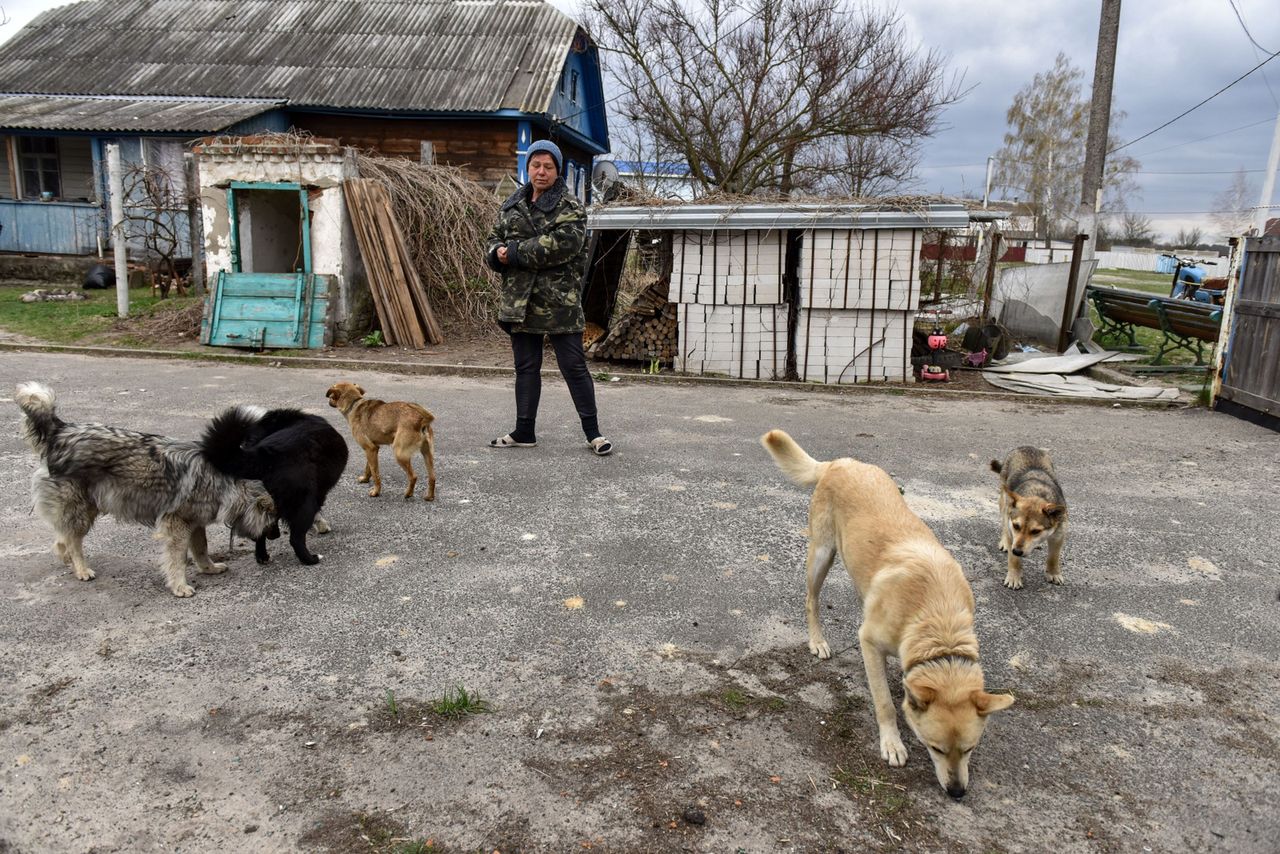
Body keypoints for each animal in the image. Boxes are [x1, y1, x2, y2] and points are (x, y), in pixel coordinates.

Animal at [14, 384, 277, 599]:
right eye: (274, 518)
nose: (275, 536)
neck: (226, 481)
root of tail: (60, 431)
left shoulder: (194, 523)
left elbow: (201, 548)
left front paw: (209, 568)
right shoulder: (177, 525)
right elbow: (177, 559)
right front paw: (179, 585)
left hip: (86, 508)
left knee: (64, 537)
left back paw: (66, 556)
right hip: (79, 508)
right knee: (73, 540)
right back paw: (81, 568)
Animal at [197, 409, 345, 568]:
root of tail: (264, 456)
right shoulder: (318, 493)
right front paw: (322, 525)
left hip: (264, 501)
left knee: (260, 531)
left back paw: (262, 556)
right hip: (304, 502)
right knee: (296, 539)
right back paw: (311, 559)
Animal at [762, 430, 1013, 798]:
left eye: (970, 748)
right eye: (935, 748)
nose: (956, 792)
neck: (938, 622)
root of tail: (842, 463)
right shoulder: (869, 642)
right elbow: (884, 702)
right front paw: (892, 743)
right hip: (821, 555)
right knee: (811, 601)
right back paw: (817, 641)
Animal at [988, 445, 1070, 591]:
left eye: (1036, 531)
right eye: (1016, 526)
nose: (1017, 551)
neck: (1037, 494)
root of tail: (1026, 446)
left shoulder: (1059, 535)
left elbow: (1054, 557)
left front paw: (1053, 573)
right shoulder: (1012, 533)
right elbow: (1013, 559)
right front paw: (1014, 577)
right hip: (1004, 500)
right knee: (1003, 521)